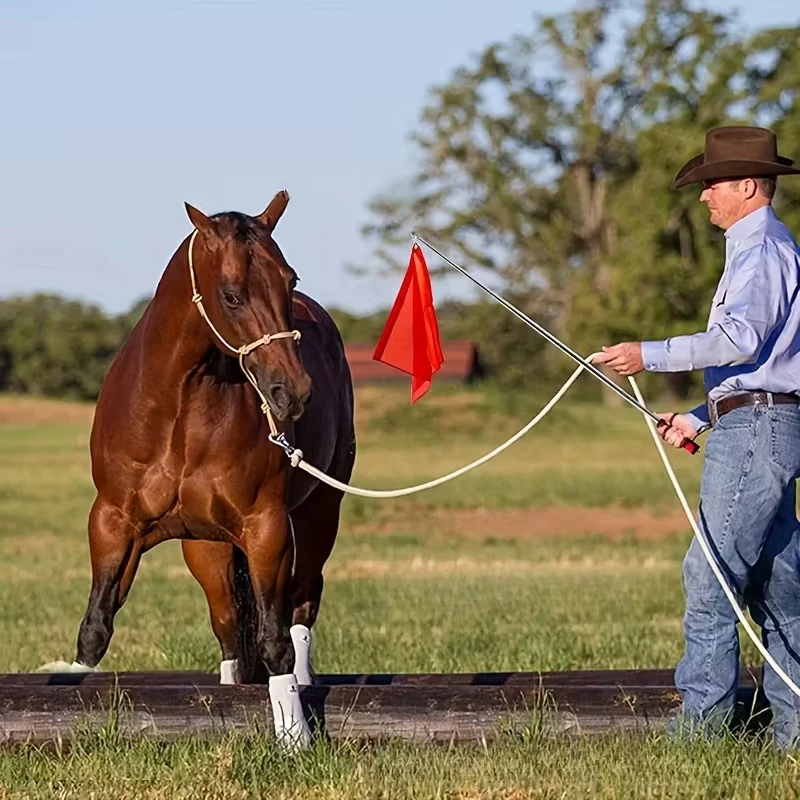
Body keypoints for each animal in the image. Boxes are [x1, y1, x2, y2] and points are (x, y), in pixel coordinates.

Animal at [63, 192, 355, 704]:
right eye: (232, 294)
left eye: (290, 280)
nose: (293, 392)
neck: (177, 416)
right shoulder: (112, 522)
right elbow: (95, 629)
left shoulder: (266, 529)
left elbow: (275, 643)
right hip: (207, 549)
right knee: (228, 625)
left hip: (320, 513)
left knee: (301, 604)